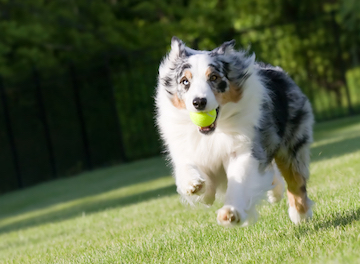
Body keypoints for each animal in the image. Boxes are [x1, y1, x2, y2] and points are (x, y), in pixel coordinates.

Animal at [155, 37, 312, 227]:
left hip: (292, 142)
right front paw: (192, 184)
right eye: (185, 81)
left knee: (295, 180)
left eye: (214, 77)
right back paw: (275, 192)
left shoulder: (245, 149)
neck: (214, 132)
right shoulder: (188, 149)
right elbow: (191, 173)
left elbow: (240, 181)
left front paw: (231, 212)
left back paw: (300, 215)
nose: (198, 102)